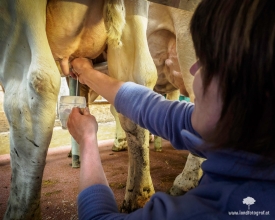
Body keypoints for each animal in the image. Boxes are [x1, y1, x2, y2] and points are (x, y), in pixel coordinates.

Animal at [0, 0, 158, 218]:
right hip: (135, 13)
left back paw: (20, 212)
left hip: (18, 17)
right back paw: (139, 198)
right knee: (139, 78)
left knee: (35, 87)